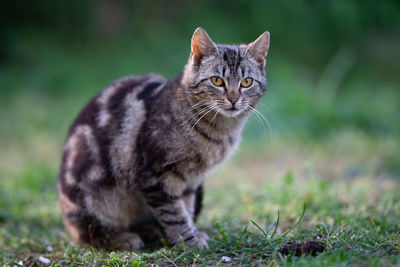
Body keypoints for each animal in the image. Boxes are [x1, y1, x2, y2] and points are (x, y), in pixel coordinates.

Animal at [57, 27, 270, 251]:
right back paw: (123, 238)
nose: (234, 99)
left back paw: (148, 231)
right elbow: (174, 214)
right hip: (92, 202)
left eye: (246, 82)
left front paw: (191, 233)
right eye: (217, 80)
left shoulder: (191, 181)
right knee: (86, 233)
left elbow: (186, 208)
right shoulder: (157, 176)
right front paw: (189, 240)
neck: (219, 131)